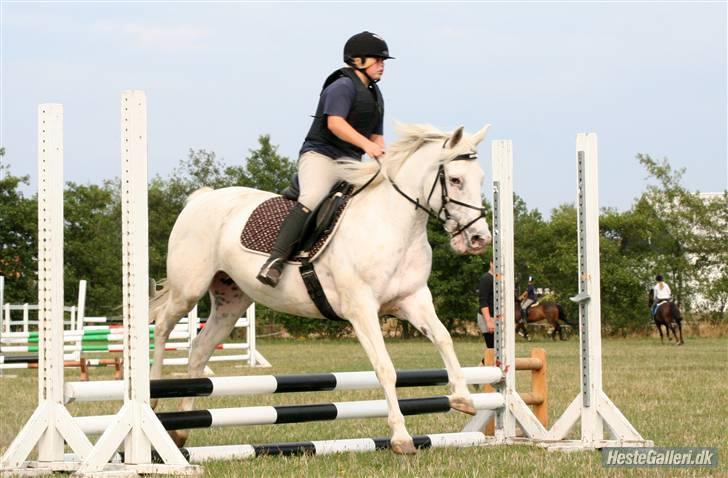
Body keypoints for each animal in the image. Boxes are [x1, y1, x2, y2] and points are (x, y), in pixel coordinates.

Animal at [150, 121, 492, 454]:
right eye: (456, 180)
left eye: (481, 179)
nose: (480, 239)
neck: (394, 224)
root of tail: (201, 199)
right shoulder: (361, 309)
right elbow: (385, 368)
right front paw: (401, 438)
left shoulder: (413, 300)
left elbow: (444, 338)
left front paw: (463, 398)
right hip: (188, 289)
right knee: (163, 325)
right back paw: (152, 397)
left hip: (230, 302)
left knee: (200, 349)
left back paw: (181, 430)